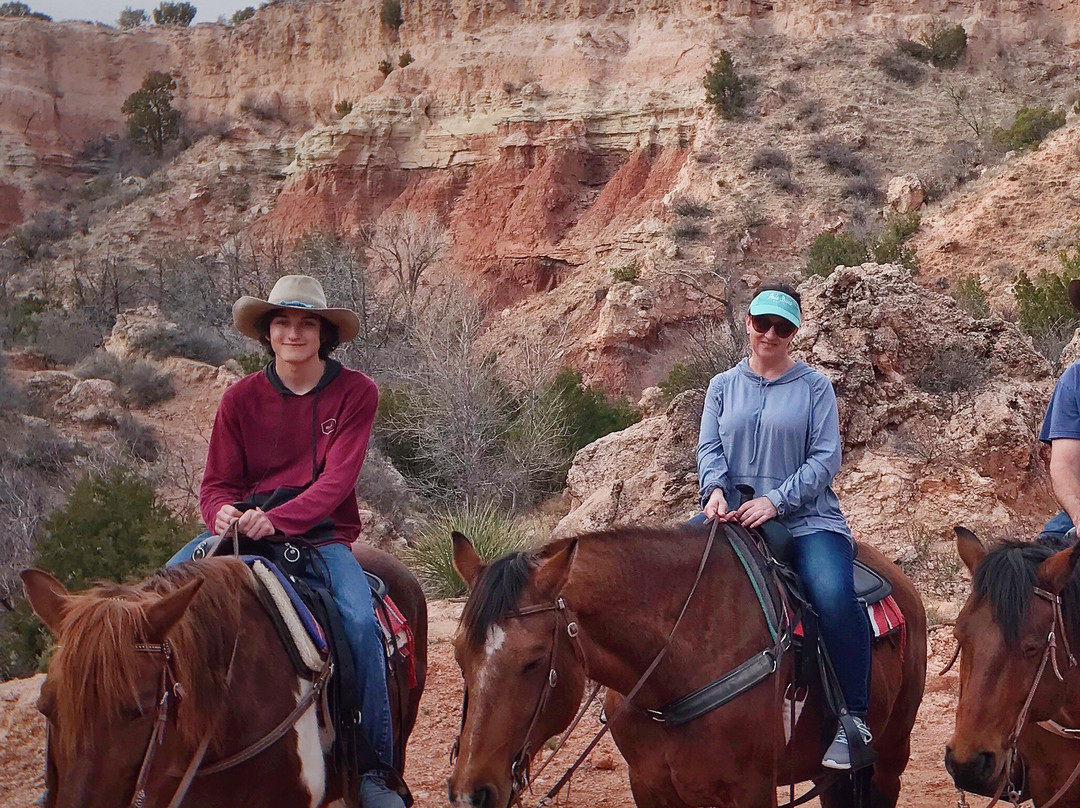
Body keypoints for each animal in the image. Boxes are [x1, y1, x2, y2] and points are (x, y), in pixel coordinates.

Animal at [447, 524, 928, 808]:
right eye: (458, 655)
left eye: (532, 662)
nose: (471, 792)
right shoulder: (649, 786)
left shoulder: (751, 792)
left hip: (891, 753)